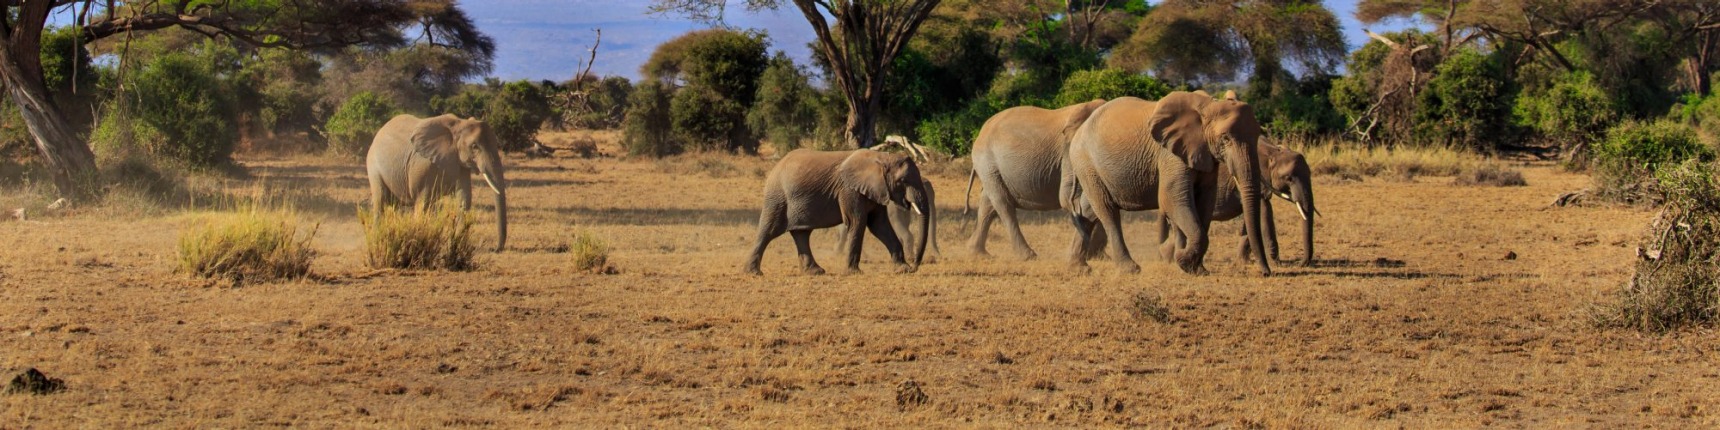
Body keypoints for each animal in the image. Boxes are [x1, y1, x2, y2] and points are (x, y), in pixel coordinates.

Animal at [359, 112, 502, 251]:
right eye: (474, 146)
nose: (495, 249)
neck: (459, 124)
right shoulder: (423, 166)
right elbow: (422, 203)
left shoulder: (461, 164)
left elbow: (464, 199)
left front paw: (452, 247)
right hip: (373, 165)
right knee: (380, 200)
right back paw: (377, 242)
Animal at [739, 148, 928, 275]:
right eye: (902, 181)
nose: (915, 266)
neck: (882, 157)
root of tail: (776, 166)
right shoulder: (849, 190)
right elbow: (857, 222)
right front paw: (854, 273)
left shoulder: (877, 190)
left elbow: (879, 225)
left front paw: (902, 269)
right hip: (777, 196)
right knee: (769, 230)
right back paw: (753, 272)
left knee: (802, 233)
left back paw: (815, 272)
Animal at [963, 99, 1107, 259]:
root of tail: (981, 132)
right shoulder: (1070, 153)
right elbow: (1071, 197)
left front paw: (1097, 255)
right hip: (987, 163)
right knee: (1003, 204)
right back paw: (1028, 256)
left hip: (991, 169)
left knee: (988, 204)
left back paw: (976, 252)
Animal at [1052, 92, 1272, 276]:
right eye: (1225, 139)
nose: (1265, 272)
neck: (1208, 106)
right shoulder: (1170, 154)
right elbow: (1174, 198)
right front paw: (1182, 260)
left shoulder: (1204, 153)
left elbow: (1205, 201)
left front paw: (1197, 269)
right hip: (1086, 161)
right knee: (1107, 211)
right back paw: (1130, 269)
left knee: (1088, 210)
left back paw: (1078, 267)